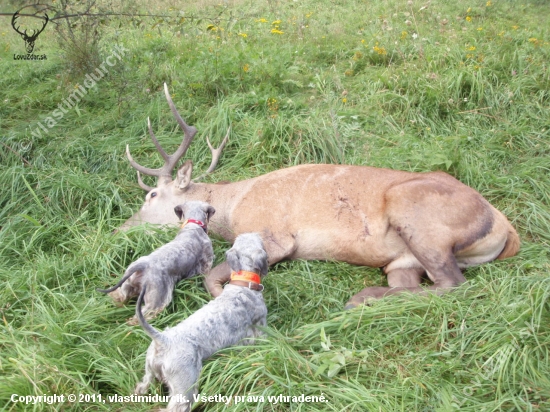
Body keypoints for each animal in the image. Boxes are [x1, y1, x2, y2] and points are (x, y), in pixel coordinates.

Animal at [136, 233, 270, 410]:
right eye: (259, 242)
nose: (258, 233)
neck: (243, 283)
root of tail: (163, 340)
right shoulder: (260, 327)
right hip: (185, 385)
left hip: (149, 372)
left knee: (142, 386)